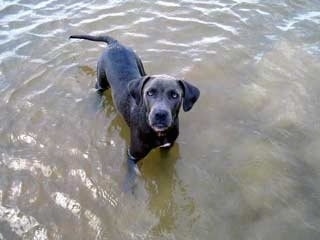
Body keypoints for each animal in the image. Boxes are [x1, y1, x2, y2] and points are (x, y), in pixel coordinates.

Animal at [70, 34, 200, 190]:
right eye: (149, 93)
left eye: (175, 95)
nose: (160, 114)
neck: (158, 134)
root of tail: (115, 43)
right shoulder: (132, 155)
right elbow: (131, 174)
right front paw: (128, 187)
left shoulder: (167, 147)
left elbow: (164, 165)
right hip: (101, 79)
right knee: (98, 88)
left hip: (140, 66)